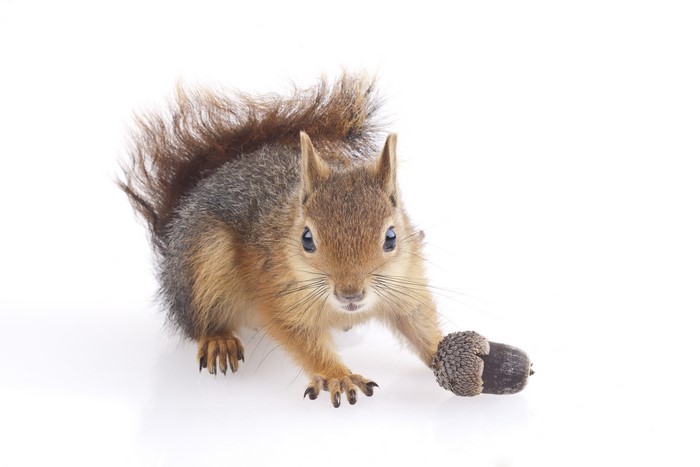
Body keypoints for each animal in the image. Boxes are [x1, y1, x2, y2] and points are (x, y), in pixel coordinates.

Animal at [119, 73, 444, 407]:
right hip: (202, 260)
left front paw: (442, 351)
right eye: (307, 239)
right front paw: (337, 375)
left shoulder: (406, 283)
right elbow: (299, 337)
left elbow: (418, 322)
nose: (350, 293)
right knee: (198, 320)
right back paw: (218, 340)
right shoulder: (277, 293)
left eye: (391, 237)